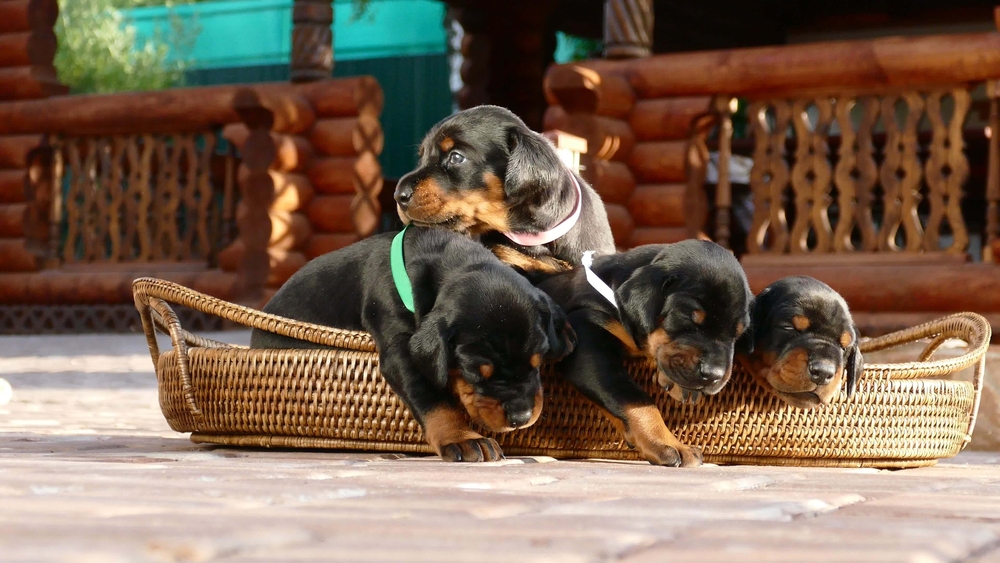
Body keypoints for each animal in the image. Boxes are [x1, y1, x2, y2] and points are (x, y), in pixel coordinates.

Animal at [250, 227, 580, 464]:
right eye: (476, 372)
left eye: (538, 363)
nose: (521, 418)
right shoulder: (401, 347)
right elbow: (431, 396)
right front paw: (461, 437)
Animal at [536, 240, 752, 470]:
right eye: (688, 319)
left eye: (738, 333)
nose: (714, 375)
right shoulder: (585, 334)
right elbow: (633, 397)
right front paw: (667, 442)